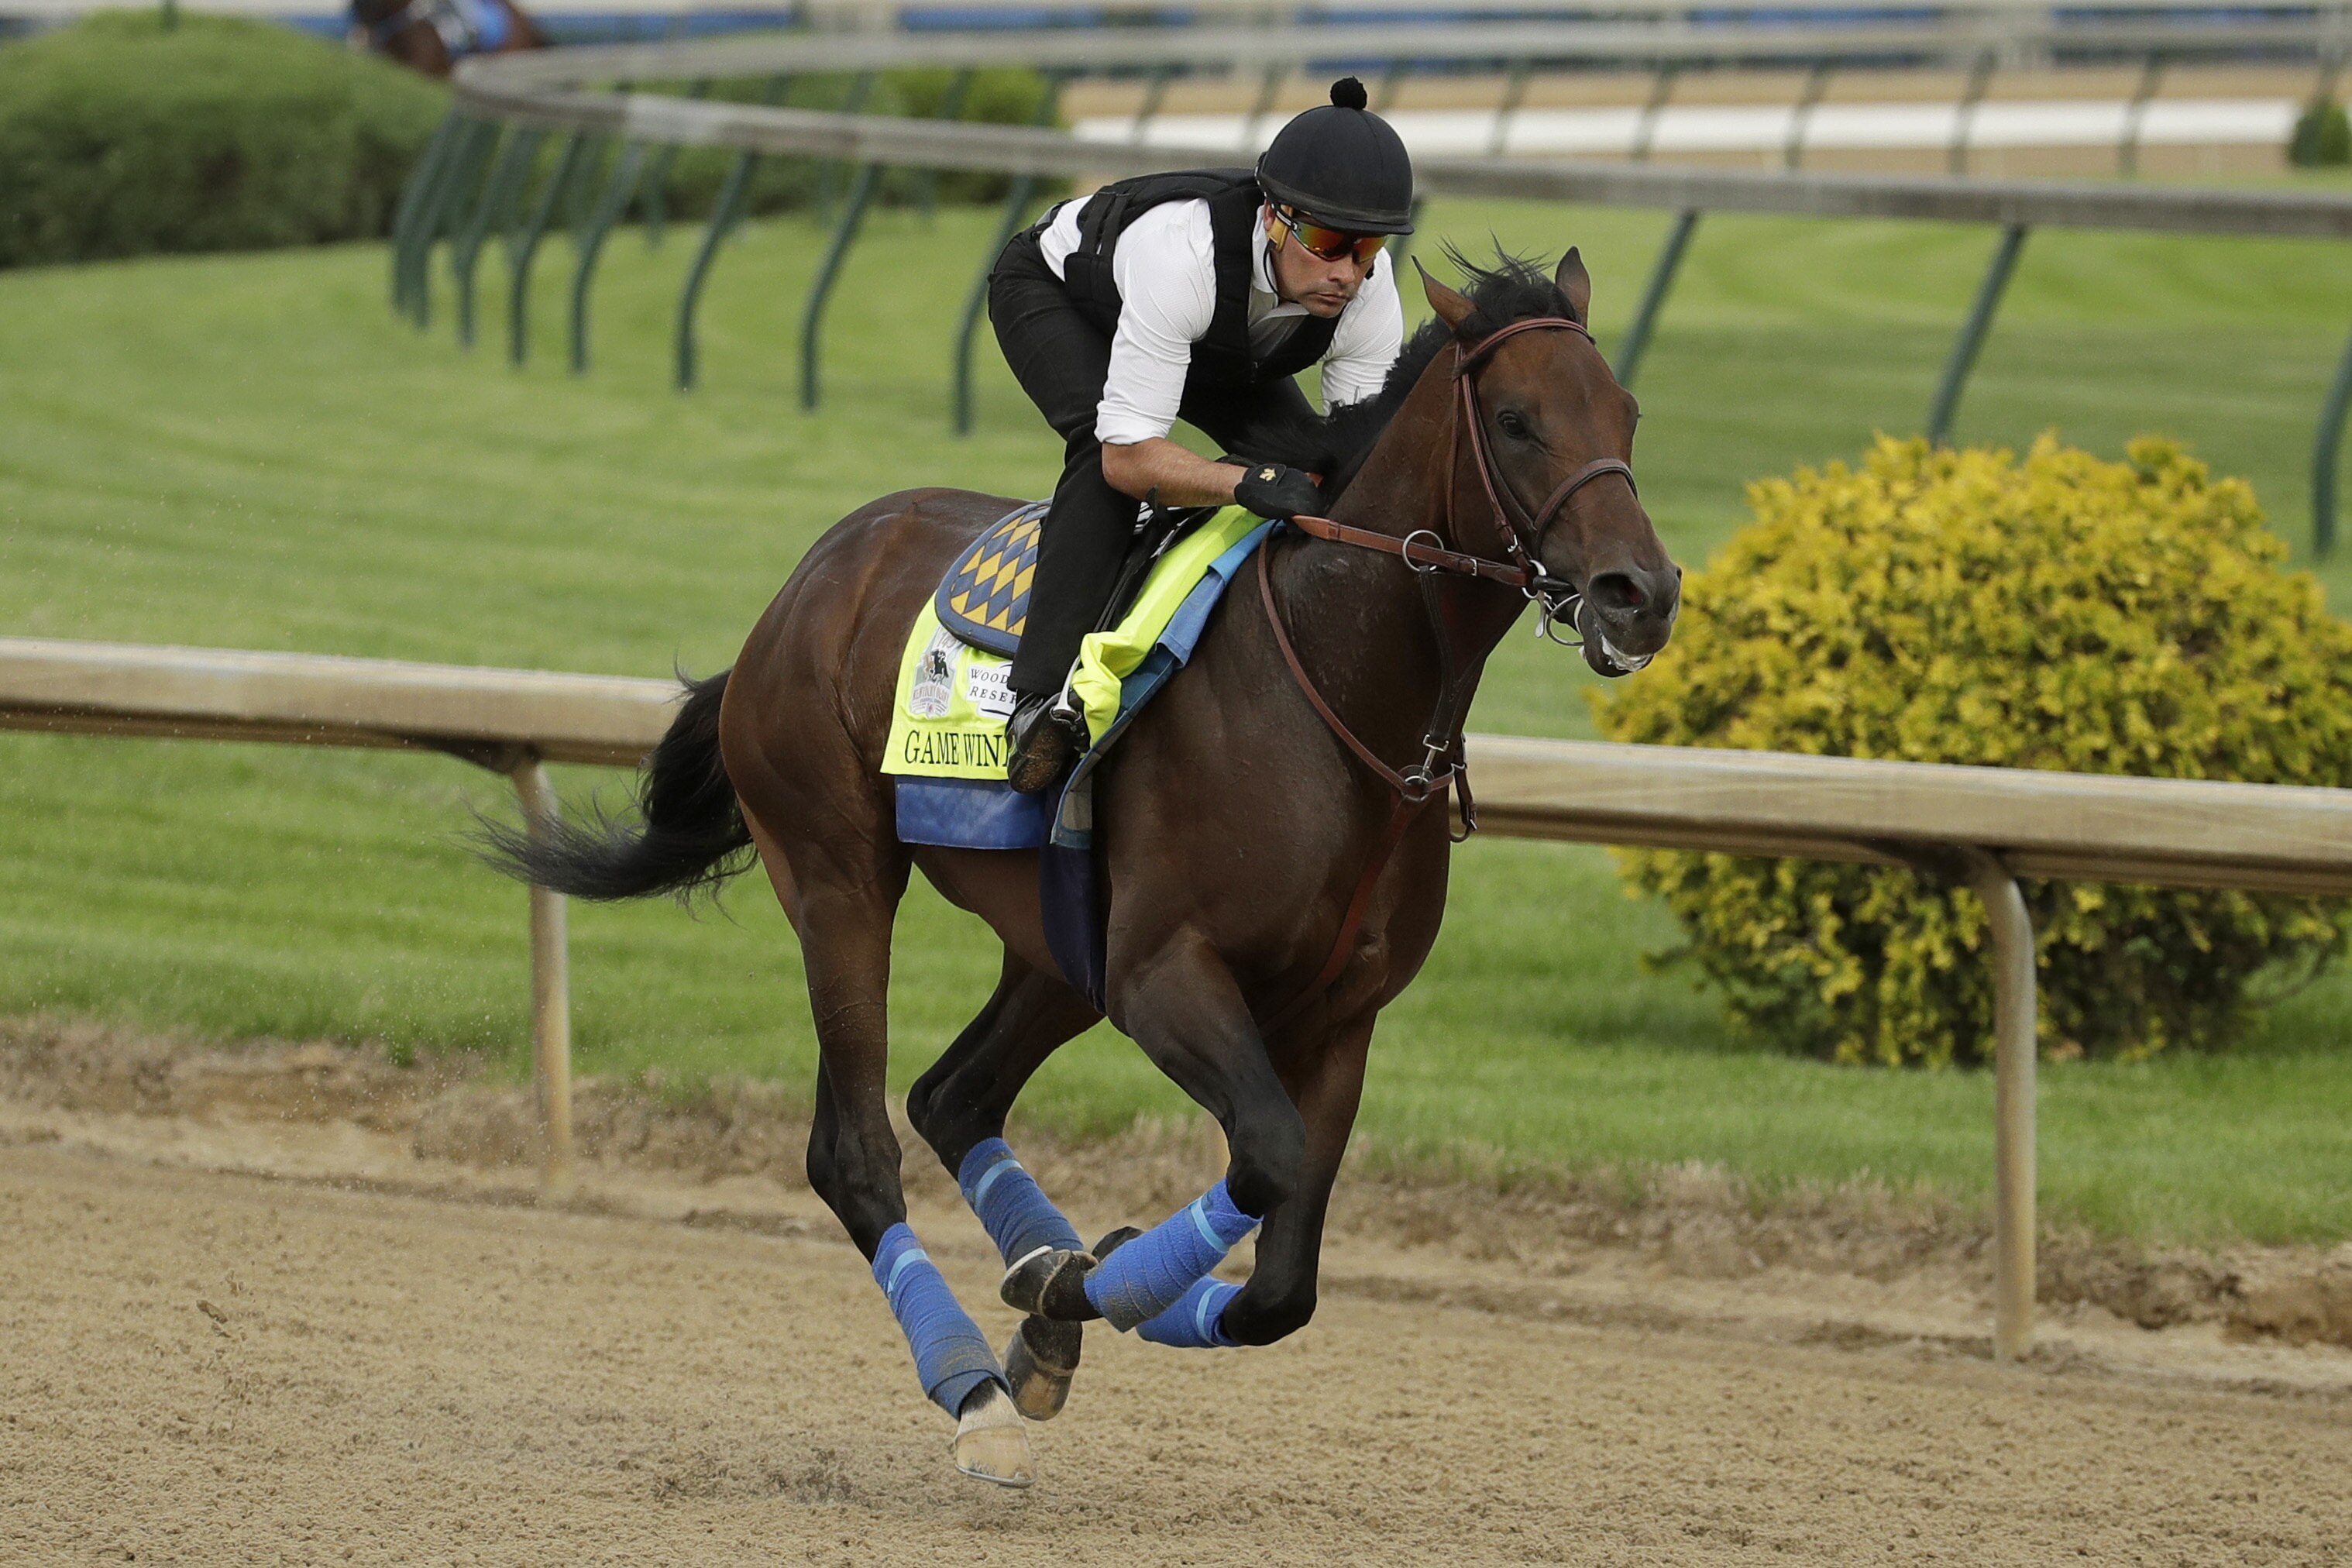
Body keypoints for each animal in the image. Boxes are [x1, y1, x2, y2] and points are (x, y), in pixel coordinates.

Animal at [489, 251, 1681, 1488]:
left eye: (1627, 412)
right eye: (1517, 420)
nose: (1642, 593)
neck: (1333, 691)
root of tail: (810, 576)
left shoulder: (1339, 1020)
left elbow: (1282, 1285)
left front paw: (1064, 1289)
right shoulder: (1165, 974)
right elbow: (1266, 1159)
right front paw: (1068, 1293)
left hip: (1059, 945)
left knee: (952, 1095)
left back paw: (1036, 1295)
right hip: (838, 878)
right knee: (854, 1148)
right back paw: (973, 1391)